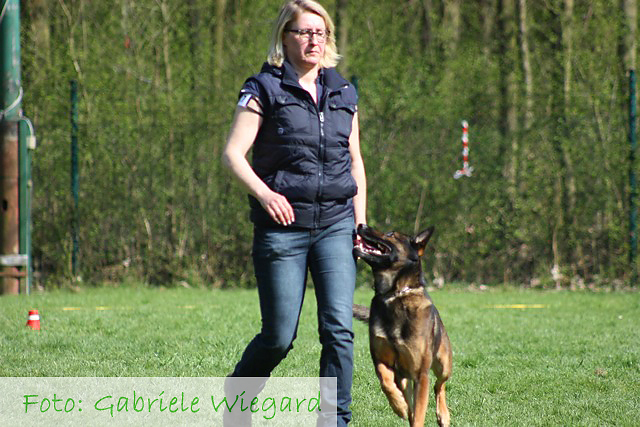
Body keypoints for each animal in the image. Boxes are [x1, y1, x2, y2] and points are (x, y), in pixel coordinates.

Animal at [352, 226, 452, 426]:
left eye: (390, 234)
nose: (361, 226)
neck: (394, 294)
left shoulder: (421, 376)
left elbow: (419, 415)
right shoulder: (381, 360)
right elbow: (386, 382)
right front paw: (399, 406)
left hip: (443, 365)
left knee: (439, 384)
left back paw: (443, 415)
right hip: (405, 378)